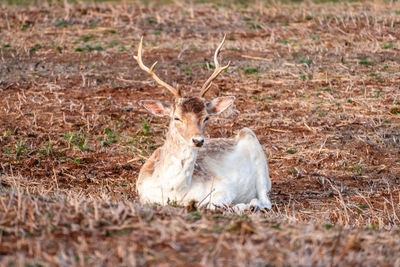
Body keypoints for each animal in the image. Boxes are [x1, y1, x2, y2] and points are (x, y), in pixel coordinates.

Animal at [135, 35, 272, 213]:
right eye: (177, 118)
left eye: (206, 117)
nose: (198, 140)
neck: (175, 191)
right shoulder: (144, 195)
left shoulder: (223, 187)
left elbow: (213, 205)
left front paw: (239, 205)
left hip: (255, 148)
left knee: (266, 201)